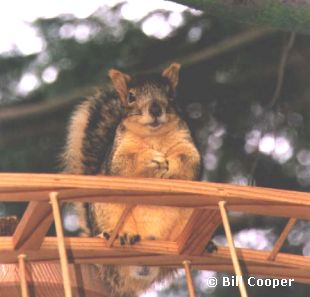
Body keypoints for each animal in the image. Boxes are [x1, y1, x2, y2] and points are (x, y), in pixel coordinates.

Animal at [62, 63, 201, 294]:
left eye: (170, 94)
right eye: (131, 96)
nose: (155, 110)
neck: (154, 135)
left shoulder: (187, 144)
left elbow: (189, 160)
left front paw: (170, 163)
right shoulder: (119, 153)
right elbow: (125, 163)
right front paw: (151, 158)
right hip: (106, 210)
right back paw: (120, 234)